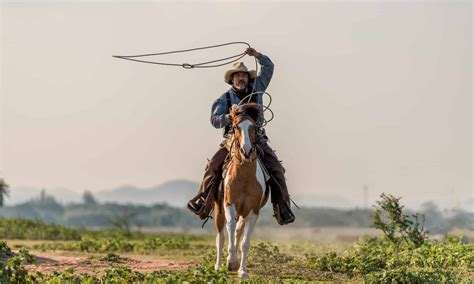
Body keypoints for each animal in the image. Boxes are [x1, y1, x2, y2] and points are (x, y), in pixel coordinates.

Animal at [213, 102, 268, 280]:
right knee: (221, 236)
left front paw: (242, 270)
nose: (247, 151)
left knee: (238, 231)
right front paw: (231, 262)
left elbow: (245, 242)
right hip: (218, 209)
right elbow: (229, 228)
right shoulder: (229, 204)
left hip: (244, 213)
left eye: (254, 127)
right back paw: (218, 266)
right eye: (236, 126)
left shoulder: (253, 211)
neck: (244, 177)